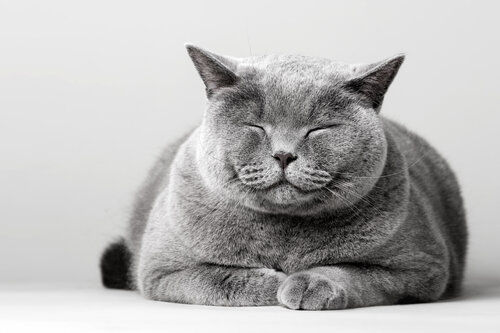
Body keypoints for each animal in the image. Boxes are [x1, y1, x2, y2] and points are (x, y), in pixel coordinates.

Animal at [99, 44, 466, 308]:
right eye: (256, 126)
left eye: (319, 129)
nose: (284, 154)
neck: (284, 235)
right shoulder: (161, 269)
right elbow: (217, 277)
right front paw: (274, 282)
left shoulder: (421, 269)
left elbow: (355, 272)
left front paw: (307, 283)